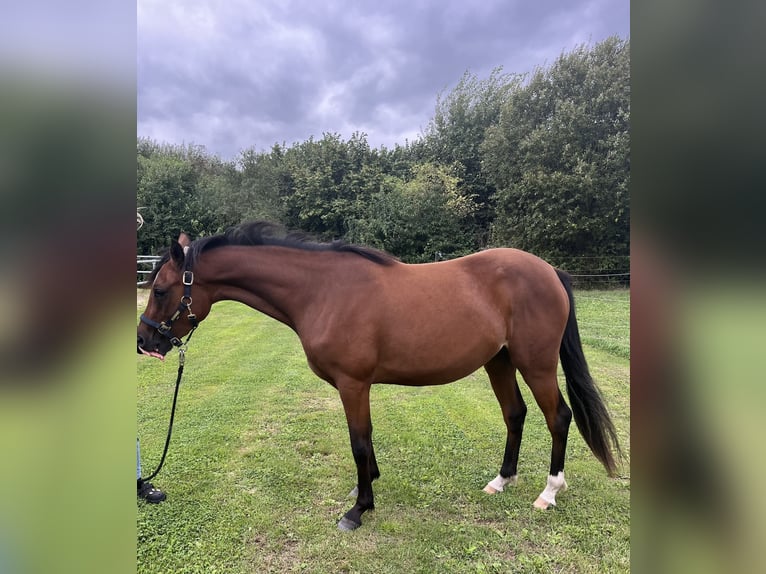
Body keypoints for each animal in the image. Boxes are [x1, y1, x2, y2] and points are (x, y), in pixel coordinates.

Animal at [138, 223, 620, 532]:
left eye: (159, 290)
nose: (145, 341)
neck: (322, 291)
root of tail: (550, 271)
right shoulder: (356, 386)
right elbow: (365, 441)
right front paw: (368, 483)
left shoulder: (354, 384)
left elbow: (358, 441)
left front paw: (359, 509)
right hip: (499, 361)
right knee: (515, 414)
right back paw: (501, 481)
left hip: (535, 363)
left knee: (558, 418)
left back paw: (549, 493)